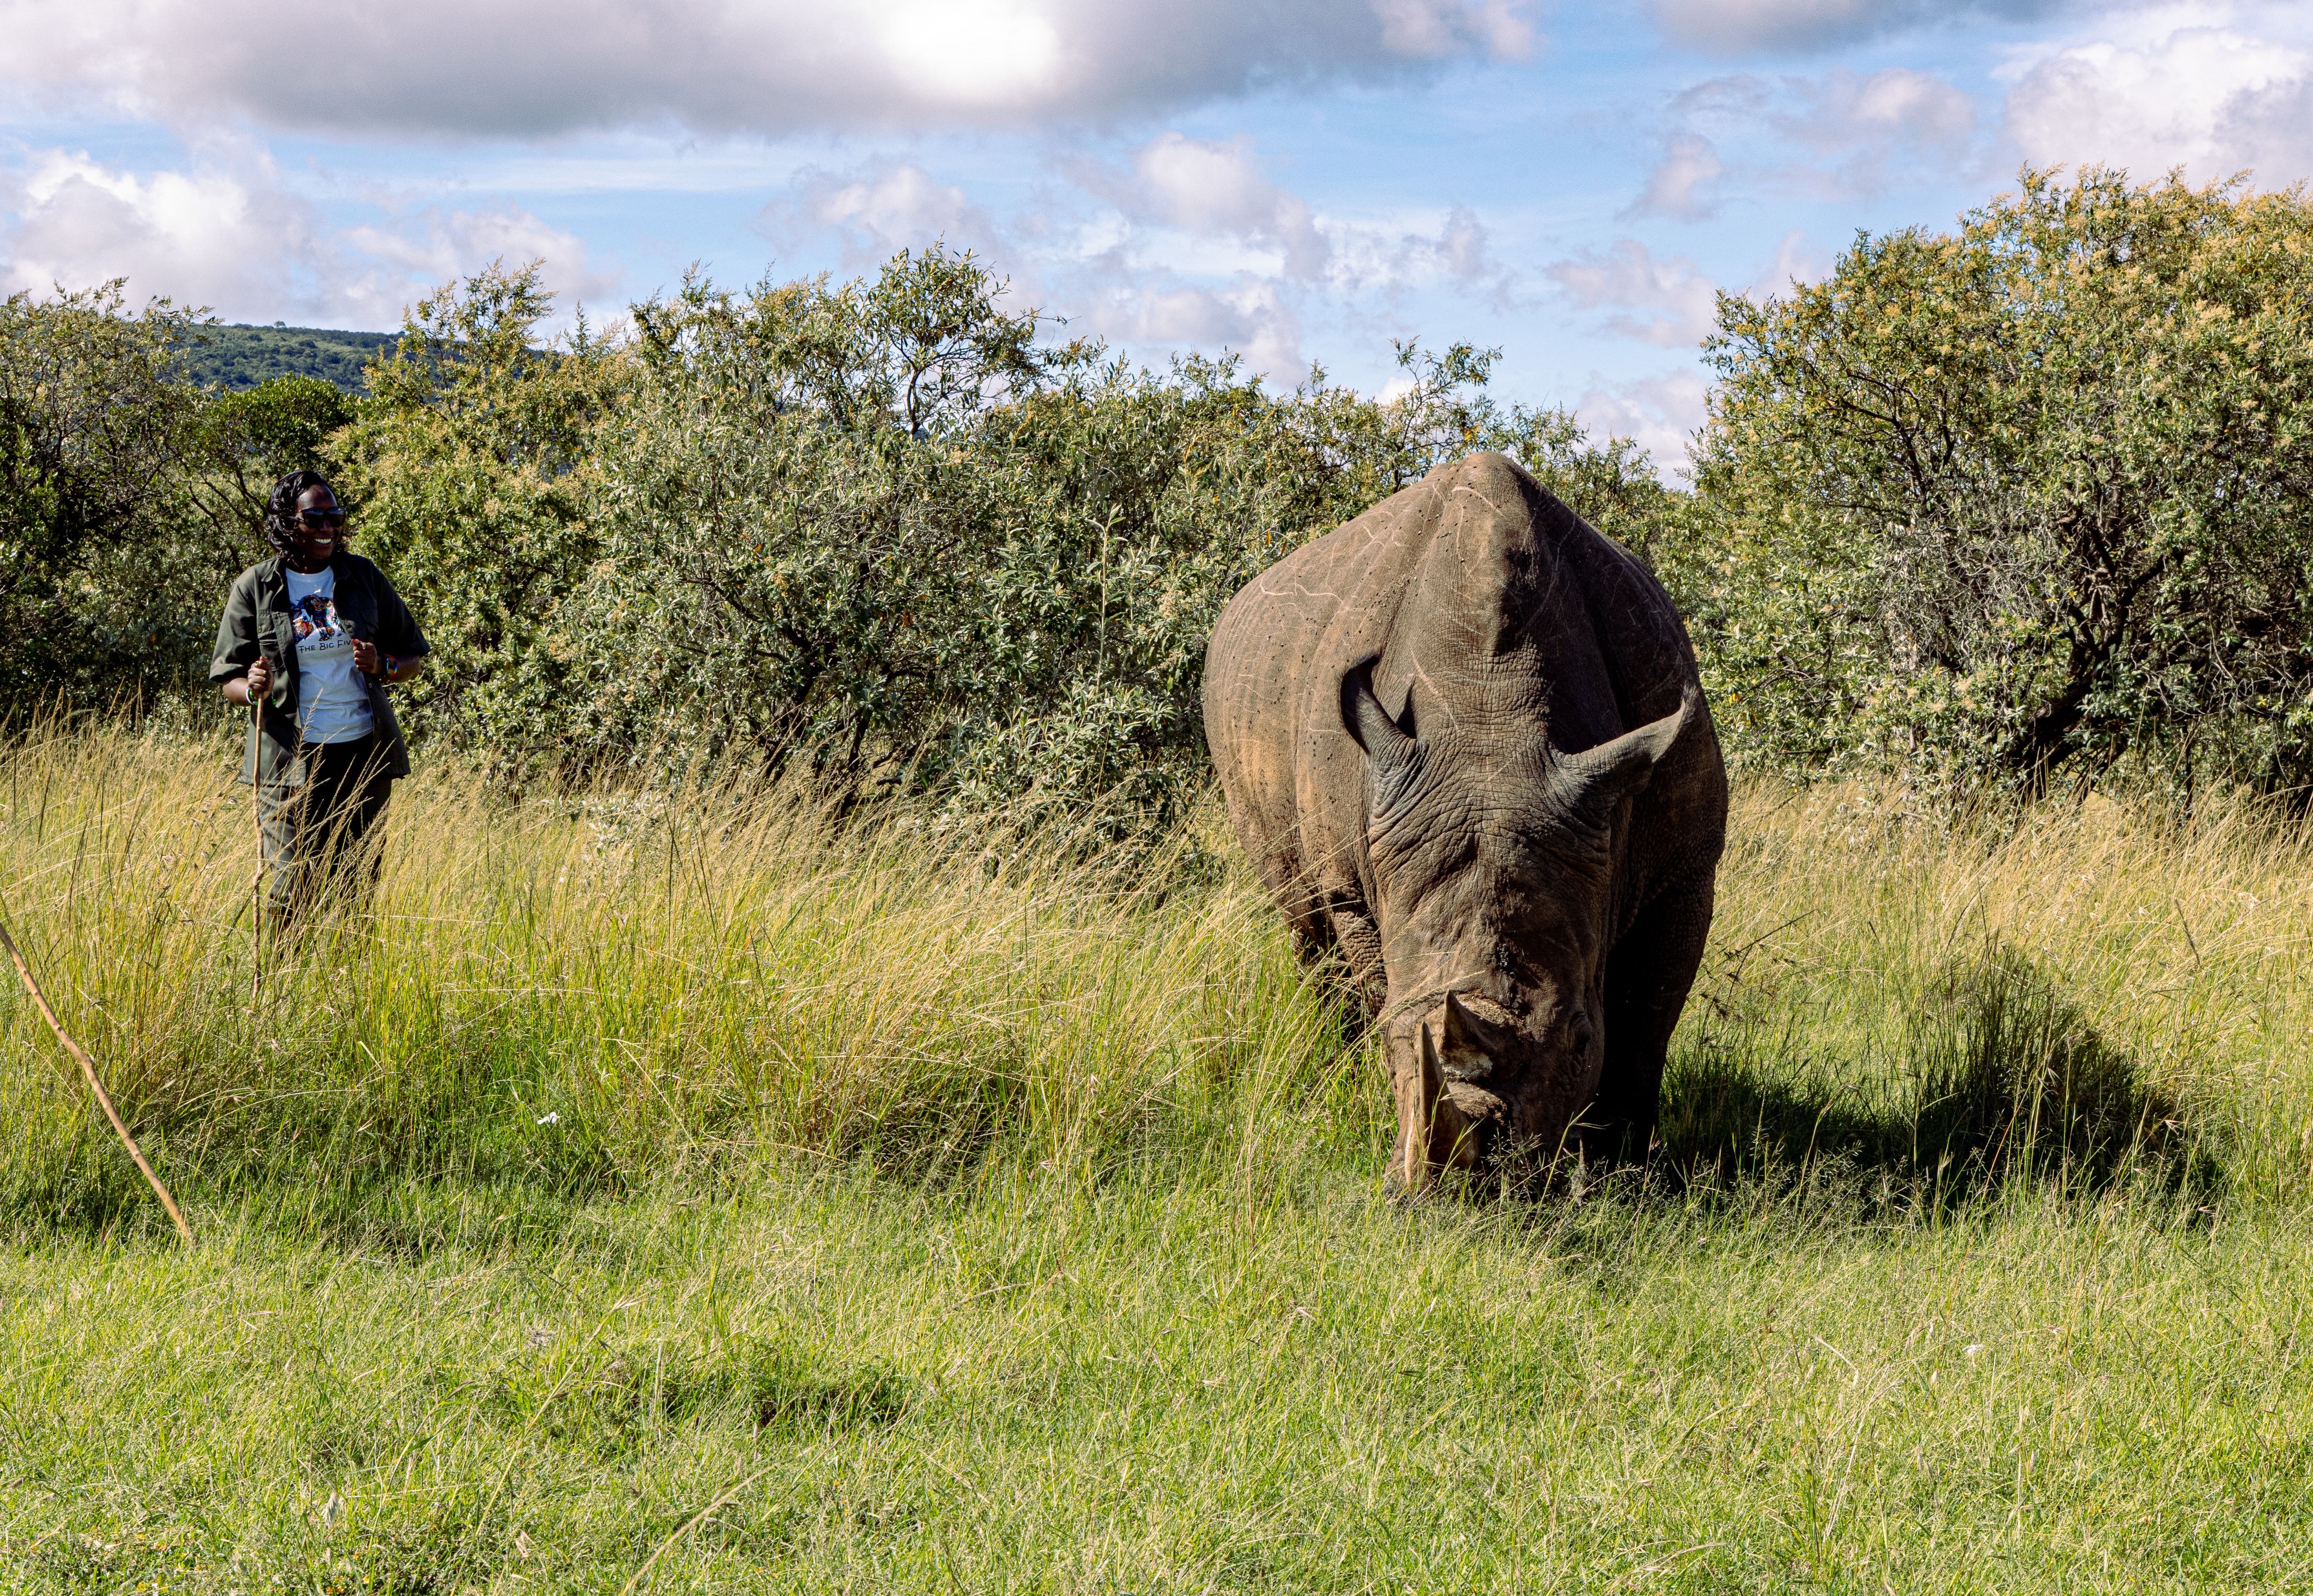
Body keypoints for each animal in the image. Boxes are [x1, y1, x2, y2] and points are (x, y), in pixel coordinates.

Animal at [1202, 451, 1726, 1189]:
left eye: (1579, 1040)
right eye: (1403, 1031)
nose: (1476, 1188)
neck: (1490, 712)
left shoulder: (1682, 873)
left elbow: (1645, 1018)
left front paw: (1625, 1169)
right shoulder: (1354, 879)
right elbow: (1370, 979)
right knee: (1303, 924)